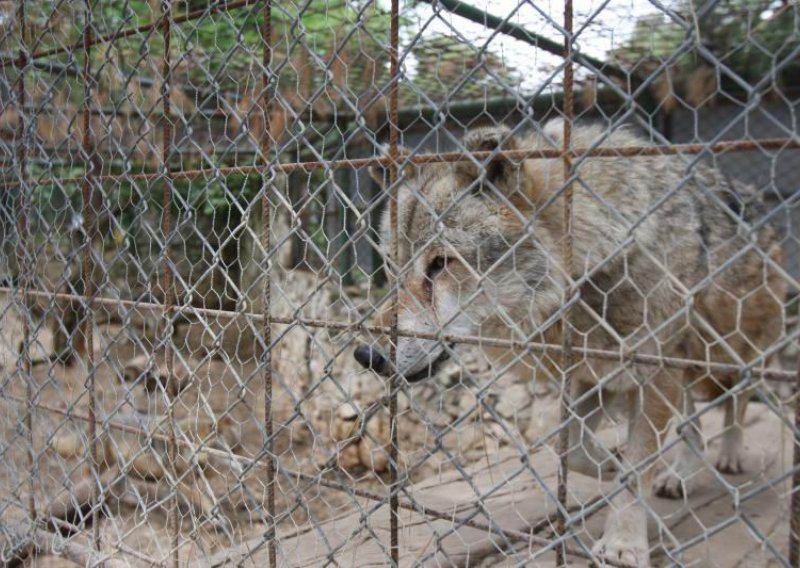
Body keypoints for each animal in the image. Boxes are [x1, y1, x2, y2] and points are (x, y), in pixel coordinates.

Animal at [354, 121, 784, 568]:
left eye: (441, 264)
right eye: (392, 265)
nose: (366, 355)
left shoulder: (647, 375)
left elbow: (636, 468)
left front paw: (622, 543)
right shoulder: (593, 372)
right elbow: (563, 439)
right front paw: (608, 464)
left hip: (734, 356)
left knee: (737, 400)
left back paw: (729, 454)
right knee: (693, 424)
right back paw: (680, 474)